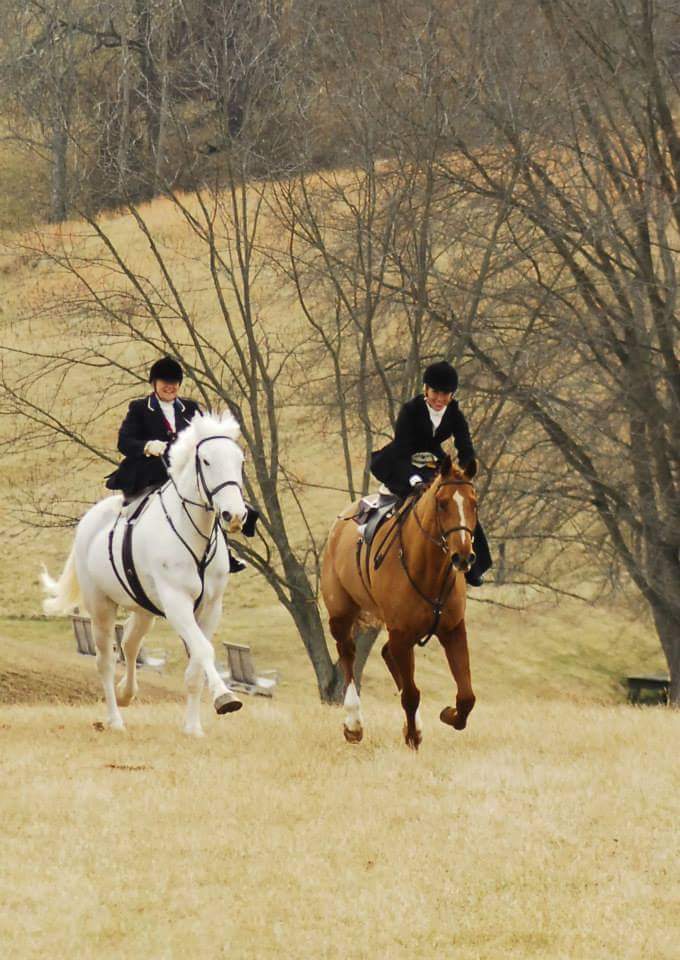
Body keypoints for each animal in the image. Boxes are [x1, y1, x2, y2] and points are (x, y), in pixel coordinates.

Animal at [41, 410, 250, 736]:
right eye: (206, 461)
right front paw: (225, 698)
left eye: (239, 461)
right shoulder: (177, 604)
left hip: (143, 608)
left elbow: (195, 666)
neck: (195, 533)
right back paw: (115, 719)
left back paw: (126, 694)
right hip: (101, 607)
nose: (235, 516)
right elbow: (204, 651)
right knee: (105, 661)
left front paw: (193, 728)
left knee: (129, 644)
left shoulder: (210, 607)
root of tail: (89, 520)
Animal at [322, 458, 478, 752]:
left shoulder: (453, 630)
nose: (463, 557)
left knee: (386, 654)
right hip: (341, 614)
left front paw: (447, 715)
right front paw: (412, 739)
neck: (429, 570)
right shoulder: (402, 634)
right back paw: (354, 724)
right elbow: (411, 695)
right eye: (442, 503)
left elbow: (466, 697)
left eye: (473, 504)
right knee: (348, 655)